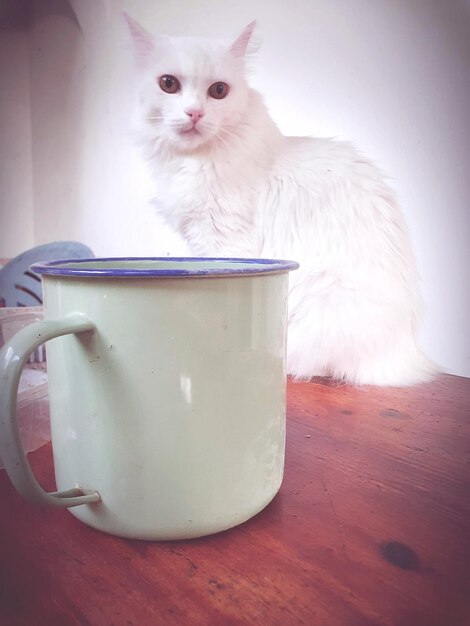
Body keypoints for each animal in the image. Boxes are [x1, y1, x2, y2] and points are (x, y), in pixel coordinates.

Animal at [123, 13, 436, 386]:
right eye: (168, 84)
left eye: (218, 91)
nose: (194, 113)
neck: (192, 161)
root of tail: (407, 356)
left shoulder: (223, 240)